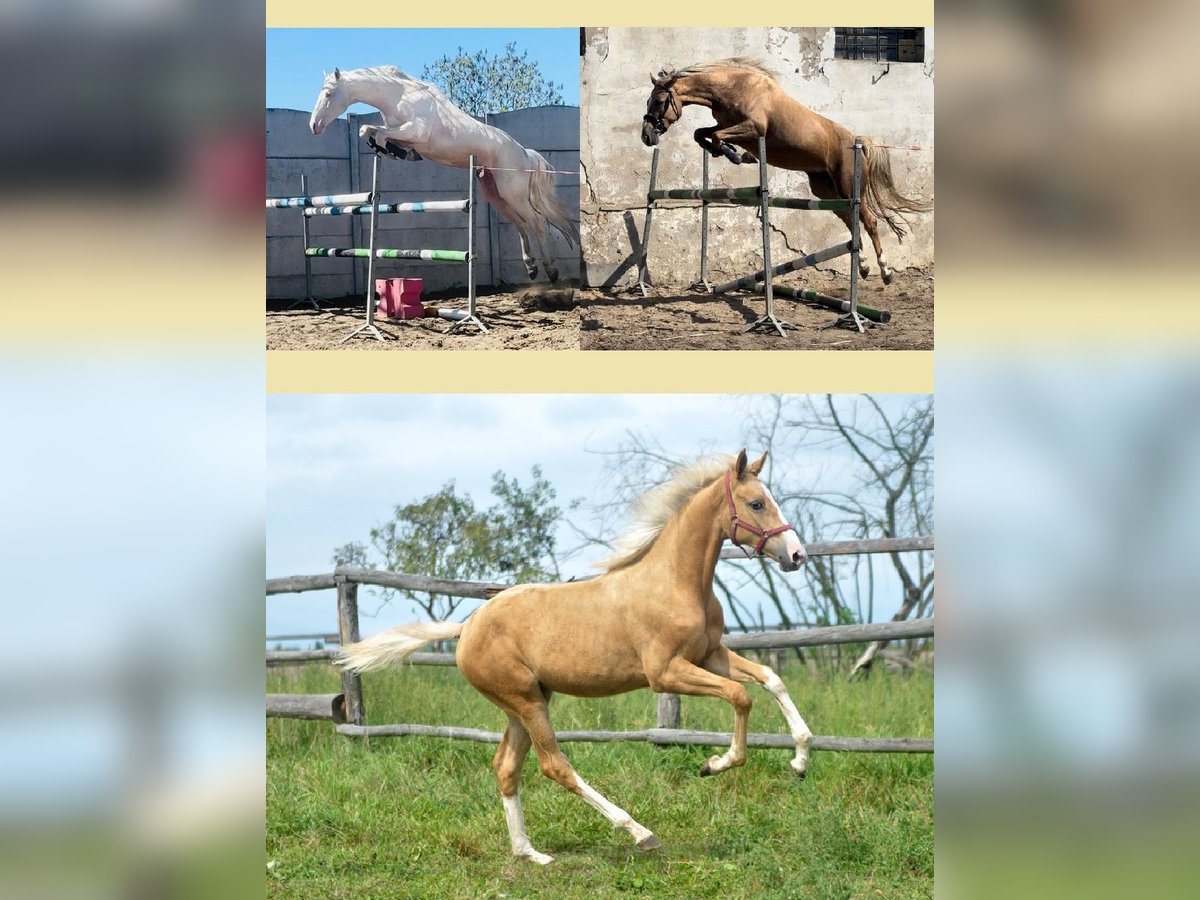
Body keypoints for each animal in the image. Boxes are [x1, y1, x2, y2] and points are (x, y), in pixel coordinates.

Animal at [307, 66, 573, 282]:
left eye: (328, 94)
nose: (314, 126)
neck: (399, 95)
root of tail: (524, 153)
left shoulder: (415, 131)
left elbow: (381, 134)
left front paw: (390, 150)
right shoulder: (400, 131)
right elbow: (367, 129)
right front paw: (393, 151)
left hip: (512, 193)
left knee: (537, 222)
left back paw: (551, 271)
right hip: (496, 194)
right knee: (522, 224)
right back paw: (531, 269)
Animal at [338, 451, 816, 868]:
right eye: (757, 503)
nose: (797, 556)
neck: (674, 583)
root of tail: (466, 627)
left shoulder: (710, 655)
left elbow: (770, 678)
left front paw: (799, 761)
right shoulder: (666, 673)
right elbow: (740, 696)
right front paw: (714, 765)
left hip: (525, 703)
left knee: (506, 767)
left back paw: (530, 854)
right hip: (526, 701)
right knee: (555, 766)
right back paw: (640, 833)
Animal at [643, 58, 931, 283]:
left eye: (658, 101)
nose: (647, 137)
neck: (731, 89)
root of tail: (857, 141)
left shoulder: (753, 127)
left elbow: (715, 136)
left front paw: (735, 154)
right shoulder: (726, 125)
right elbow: (701, 133)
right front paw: (729, 152)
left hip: (848, 185)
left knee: (868, 221)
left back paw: (885, 271)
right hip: (825, 189)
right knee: (850, 220)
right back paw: (864, 266)